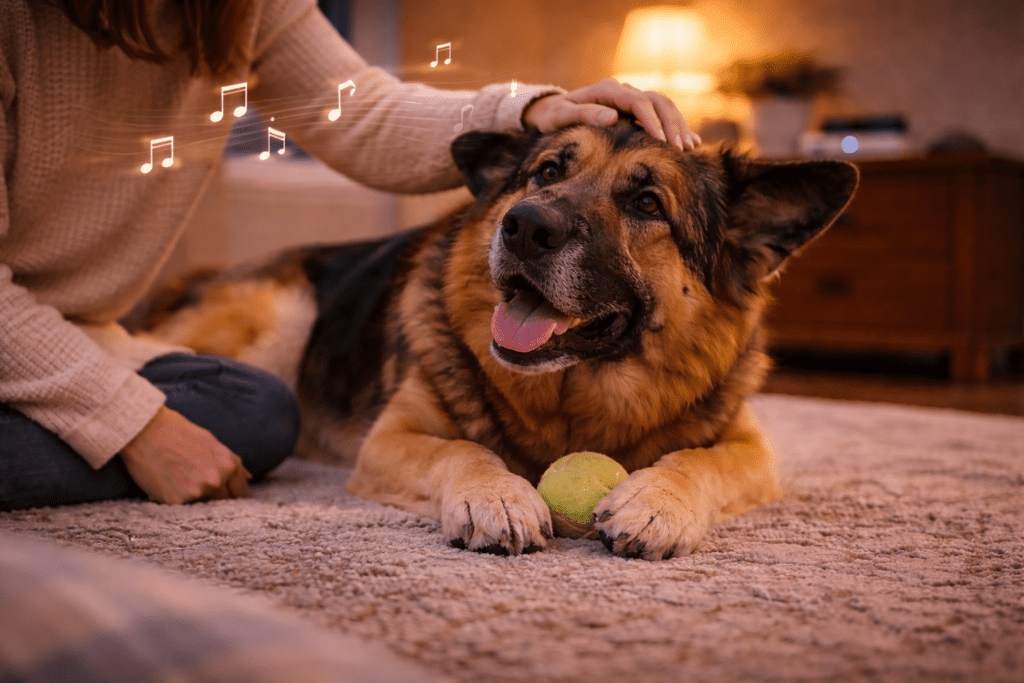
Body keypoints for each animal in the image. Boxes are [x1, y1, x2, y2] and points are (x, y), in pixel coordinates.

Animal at [137, 120, 858, 560]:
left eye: (648, 203)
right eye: (546, 172)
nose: (523, 226)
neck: (571, 401)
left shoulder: (749, 448)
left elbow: (695, 461)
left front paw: (658, 502)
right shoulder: (391, 439)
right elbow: (462, 448)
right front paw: (497, 493)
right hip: (284, 318)